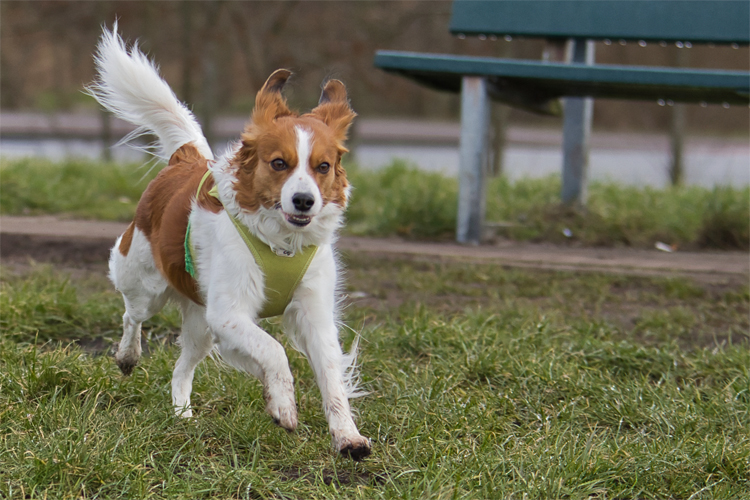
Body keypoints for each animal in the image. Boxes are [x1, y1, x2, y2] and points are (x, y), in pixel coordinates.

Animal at [89, 25, 372, 458]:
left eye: (322, 167)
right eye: (279, 163)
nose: (304, 200)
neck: (280, 242)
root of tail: (186, 158)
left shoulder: (312, 314)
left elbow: (330, 376)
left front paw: (347, 437)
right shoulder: (228, 312)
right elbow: (274, 350)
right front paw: (284, 404)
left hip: (200, 325)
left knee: (182, 368)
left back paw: (183, 415)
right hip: (145, 285)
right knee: (130, 316)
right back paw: (127, 355)